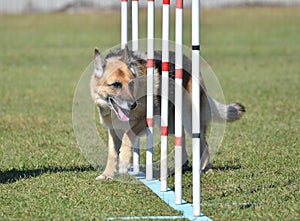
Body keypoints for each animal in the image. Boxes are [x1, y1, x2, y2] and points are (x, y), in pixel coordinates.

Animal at [89, 45, 244, 180]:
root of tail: (189, 61)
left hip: (189, 118)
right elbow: (112, 153)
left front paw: (123, 162)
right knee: (181, 138)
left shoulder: (143, 121)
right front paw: (107, 174)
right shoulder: (113, 130)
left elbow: (128, 137)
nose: (133, 105)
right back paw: (180, 167)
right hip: (171, 123)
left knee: (203, 143)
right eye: (116, 84)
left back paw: (206, 169)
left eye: (132, 83)